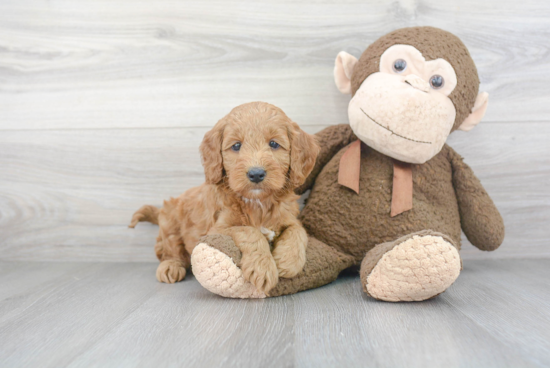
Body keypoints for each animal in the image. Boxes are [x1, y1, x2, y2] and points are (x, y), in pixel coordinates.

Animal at [130, 102, 320, 294]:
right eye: (236, 146)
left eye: (274, 144)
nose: (256, 174)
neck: (257, 203)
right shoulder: (216, 230)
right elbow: (248, 231)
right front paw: (262, 268)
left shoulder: (289, 217)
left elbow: (298, 231)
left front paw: (288, 261)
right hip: (171, 223)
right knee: (169, 250)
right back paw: (170, 266)